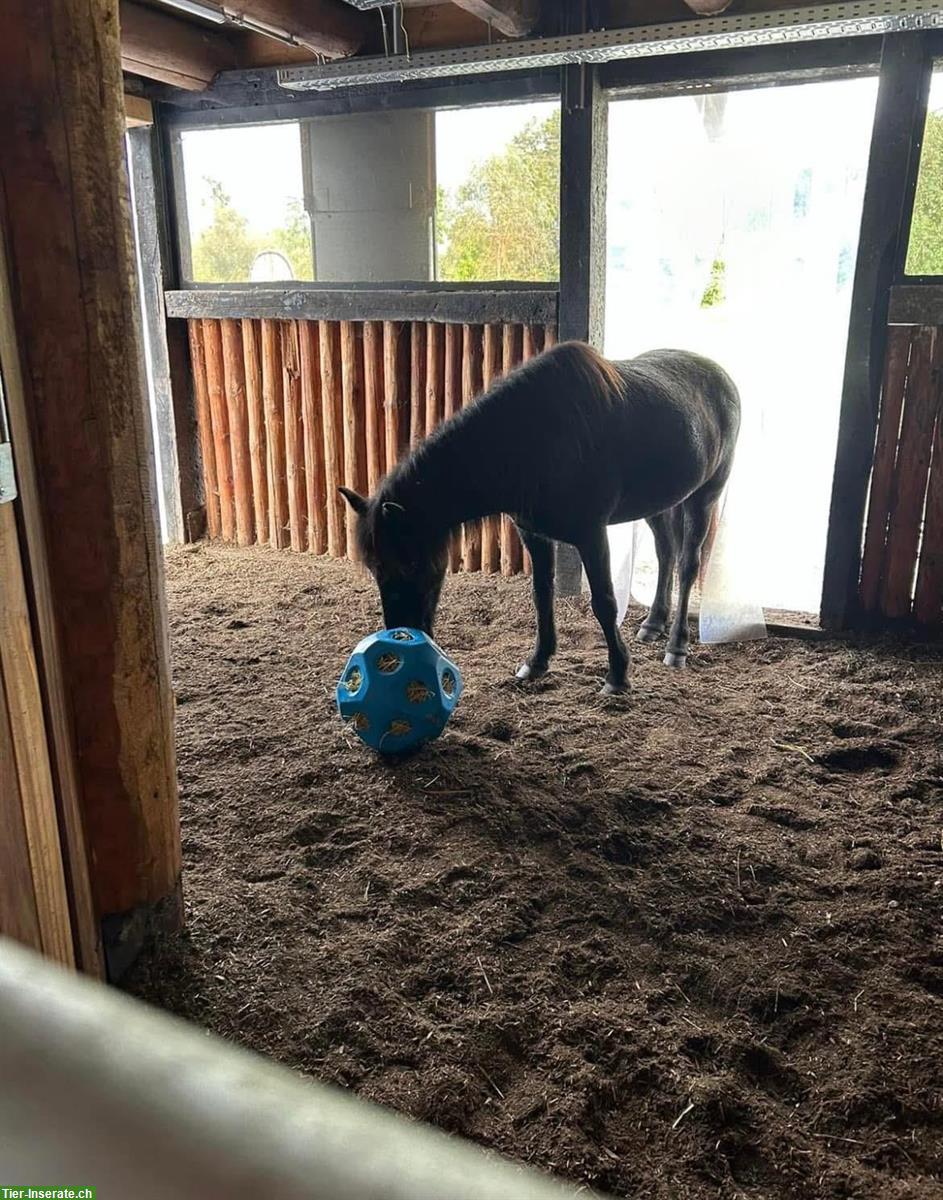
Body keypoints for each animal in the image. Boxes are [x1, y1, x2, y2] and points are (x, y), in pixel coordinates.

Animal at [340, 338, 739, 696]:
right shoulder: (533, 533)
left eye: (409, 564)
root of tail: (722, 377)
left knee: (687, 564)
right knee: (666, 553)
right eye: (373, 567)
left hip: (705, 496)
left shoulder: (592, 534)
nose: (400, 636)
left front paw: (617, 675)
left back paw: (677, 647)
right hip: (660, 503)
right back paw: (653, 624)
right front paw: (537, 661)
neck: (537, 442)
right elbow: (541, 595)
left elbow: (604, 601)